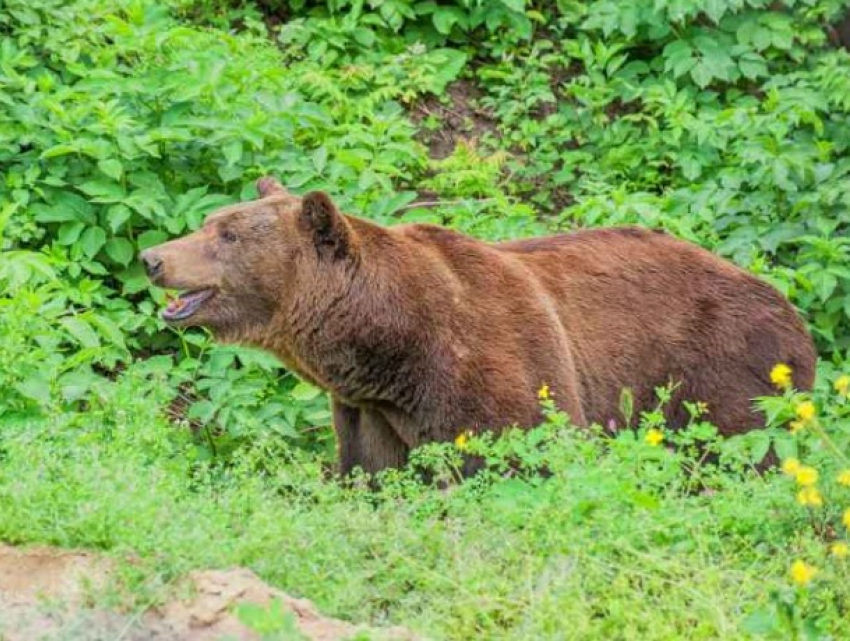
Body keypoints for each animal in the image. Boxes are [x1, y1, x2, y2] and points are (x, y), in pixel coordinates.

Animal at [141, 178, 816, 472]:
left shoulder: (499, 360)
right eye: (210, 221)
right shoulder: (369, 412)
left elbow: (526, 454)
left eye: (227, 235)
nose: (153, 258)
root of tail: (791, 308)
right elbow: (374, 473)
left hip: (726, 371)